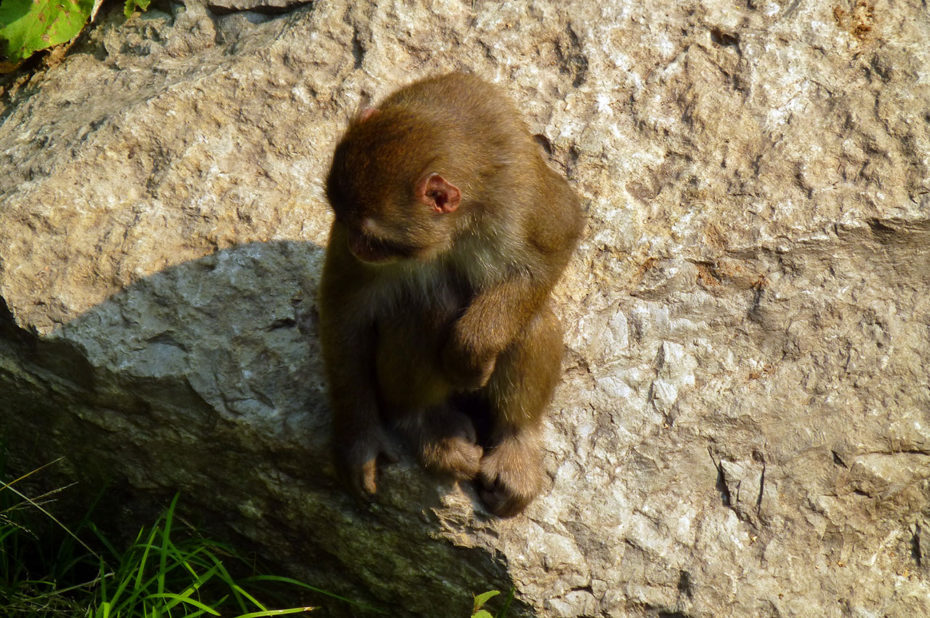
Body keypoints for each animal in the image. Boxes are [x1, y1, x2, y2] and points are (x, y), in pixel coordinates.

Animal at [320, 72, 580, 516]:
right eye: (343, 218)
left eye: (373, 239)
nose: (354, 246)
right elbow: (344, 309)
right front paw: (358, 440)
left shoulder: (518, 199)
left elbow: (557, 239)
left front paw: (471, 350)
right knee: (426, 307)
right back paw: (425, 424)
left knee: (530, 318)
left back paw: (515, 442)